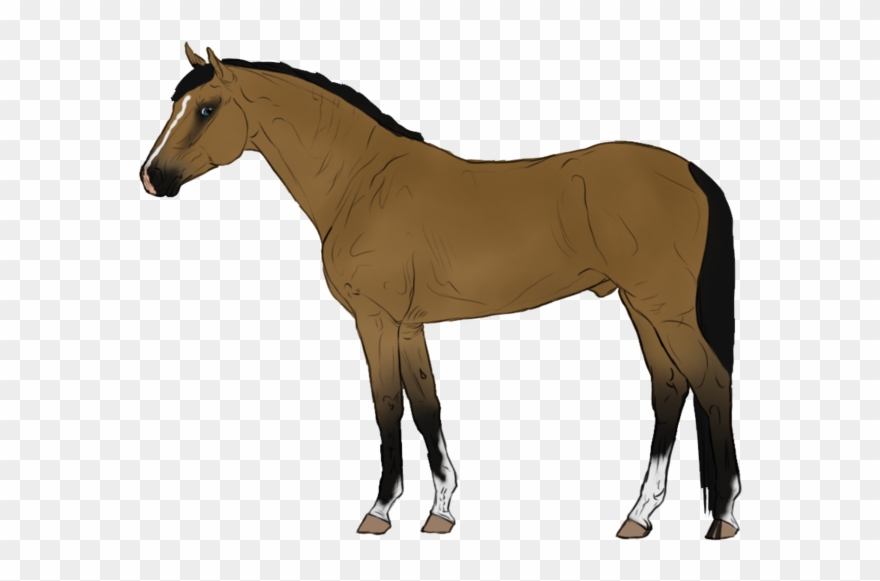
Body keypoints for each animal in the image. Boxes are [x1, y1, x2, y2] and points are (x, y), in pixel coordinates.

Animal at [141, 43, 742, 540]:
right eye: (177, 103)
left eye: (207, 108)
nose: (152, 177)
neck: (363, 184)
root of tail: (690, 172)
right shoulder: (409, 325)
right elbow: (426, 405)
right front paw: (441, 510)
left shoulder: (377, 321)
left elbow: (387, 405)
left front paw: (379, 511)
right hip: (641, 306)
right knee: (669, 387)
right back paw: (639, 516)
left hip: (663, 307)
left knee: (710, 383)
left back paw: (722, 518)